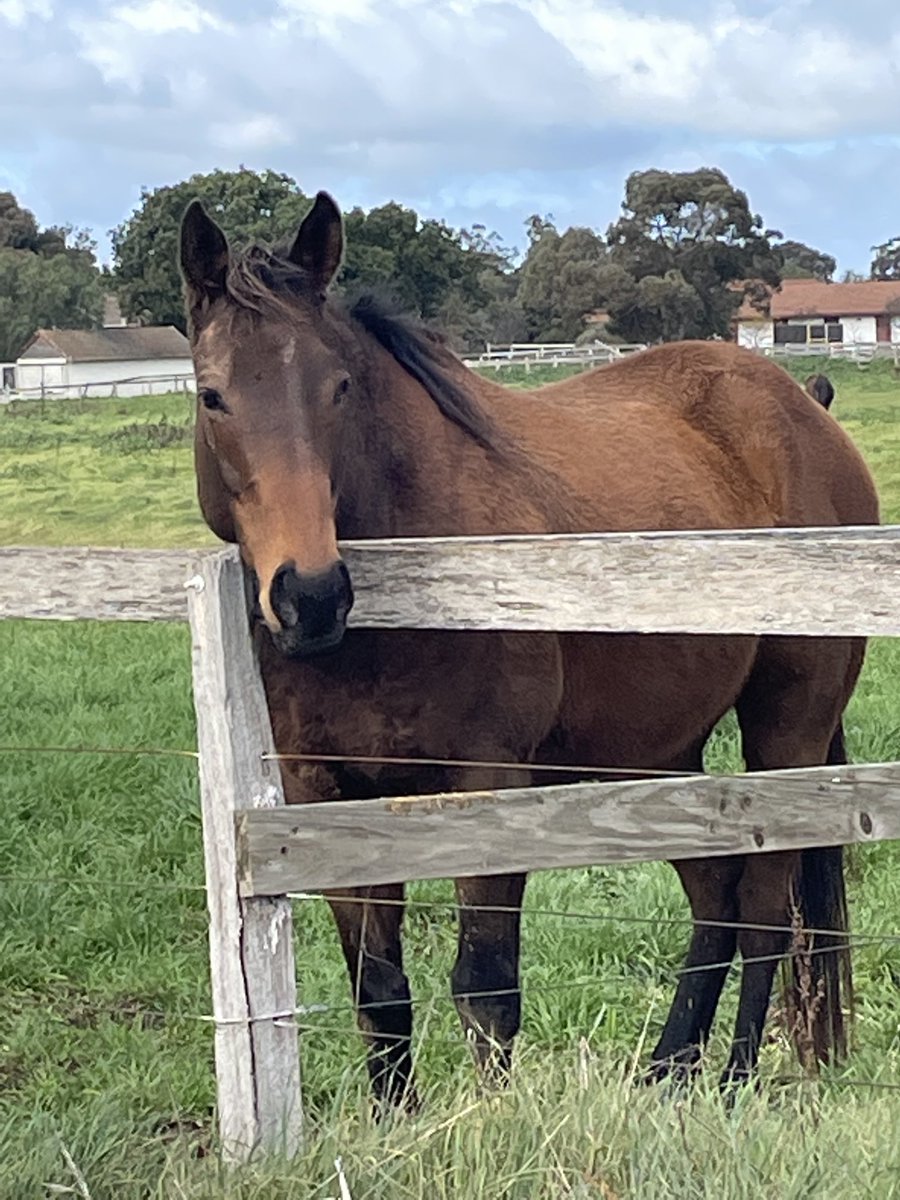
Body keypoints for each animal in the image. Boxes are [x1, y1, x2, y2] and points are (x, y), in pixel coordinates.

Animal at [179, 192, 879, 1108]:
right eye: (213, 396)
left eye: (339, 388)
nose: (312, 595)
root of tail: (809, 412)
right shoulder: (323, 794)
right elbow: (380, 992)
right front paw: (395, 1121)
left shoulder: (490, 784)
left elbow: (485, 990)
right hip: (657, 750)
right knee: (716, 897)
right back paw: (668, 1071)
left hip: (786, 728)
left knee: (763, 906)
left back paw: (729, 1080)